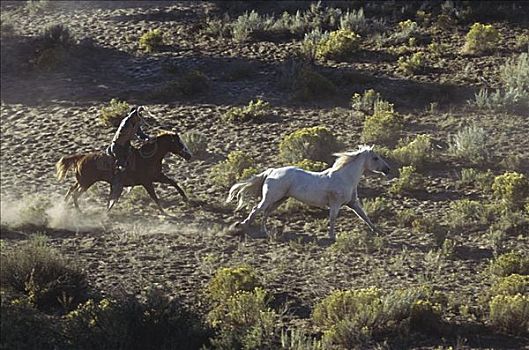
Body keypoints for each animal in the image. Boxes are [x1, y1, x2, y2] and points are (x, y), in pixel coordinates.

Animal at [56, 131, 192, 213]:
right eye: (179, 143)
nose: (189, 156)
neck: (147, 158)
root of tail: (81, 157)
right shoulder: (147, 181)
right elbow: (154, 196)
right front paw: (164, 212)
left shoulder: (157, 176)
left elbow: (173, 183)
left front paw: (185, 199)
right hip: (86, 183)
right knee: (75, 194)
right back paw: (79, 211)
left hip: (81, 181)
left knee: (71, 190)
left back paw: (64, 206)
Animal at [225, 144, 390, 238]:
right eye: (375, 158)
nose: (387, 169)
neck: (345, 177)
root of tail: (271, 171)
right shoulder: (335, 203)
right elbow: (333, 218)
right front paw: (332, 236)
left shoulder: (353, 203)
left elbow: (364, 216)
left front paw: (378, 231)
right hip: (271, 197)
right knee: (256, 209)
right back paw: (242, 226)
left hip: (280, 199)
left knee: (265, 212)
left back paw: (263, 231)